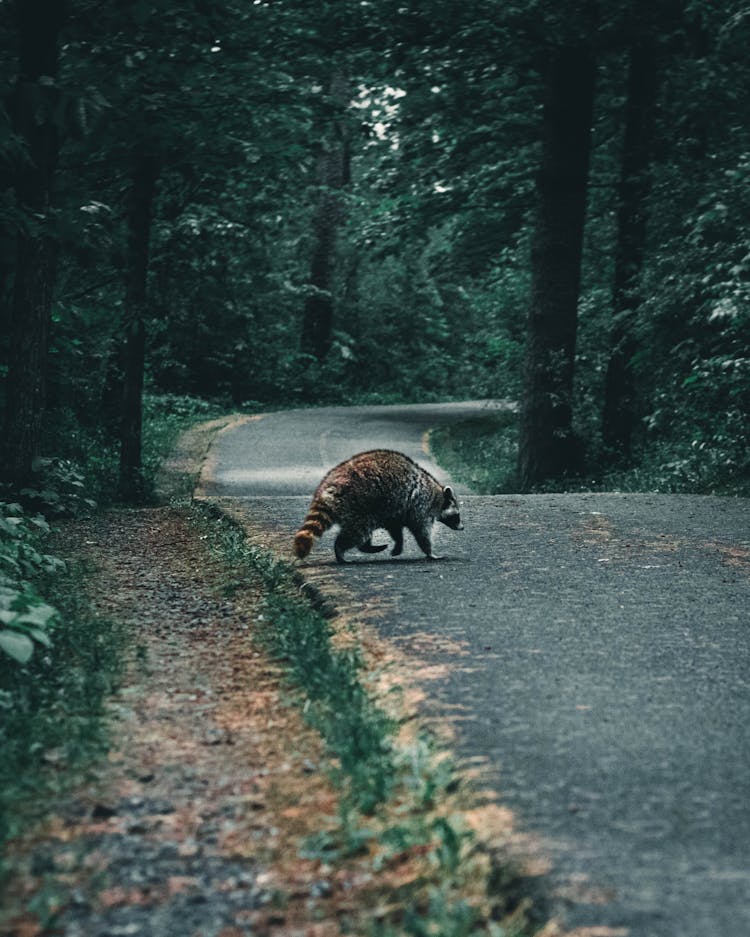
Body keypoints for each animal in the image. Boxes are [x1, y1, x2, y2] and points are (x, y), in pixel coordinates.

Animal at [294, 448, 464, 564]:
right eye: (457, 515)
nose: (462, 527)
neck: (437, 495)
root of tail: (330, 485)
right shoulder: (421, 505)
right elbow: (421, 532)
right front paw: (430, 552)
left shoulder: (398, 509)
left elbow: (395, 528)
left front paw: (399, 545)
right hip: (359, 503)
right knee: (357, 532)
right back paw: (340, 549)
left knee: (361, 532)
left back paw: (366, 547)